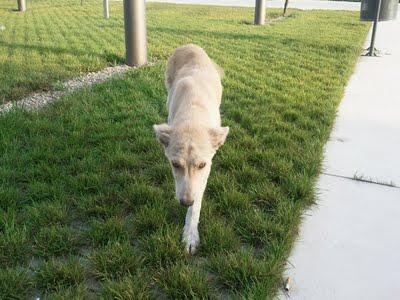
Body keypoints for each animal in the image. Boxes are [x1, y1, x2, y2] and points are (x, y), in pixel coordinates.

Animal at [153, 44, 228, 253]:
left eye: (202, 165)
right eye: (175, 165)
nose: (185, 202)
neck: (192, 117)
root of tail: (189, 45)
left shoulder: (206, 171)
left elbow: (196, 205)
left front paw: (190, 235)